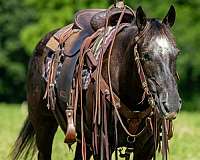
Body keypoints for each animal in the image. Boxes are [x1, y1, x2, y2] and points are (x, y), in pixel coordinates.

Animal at [11, 4, 183, 159]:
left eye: (177, 53)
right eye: (146, 54)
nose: (172, 103)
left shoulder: (146, 147)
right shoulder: (102, 143)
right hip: (43, 124)